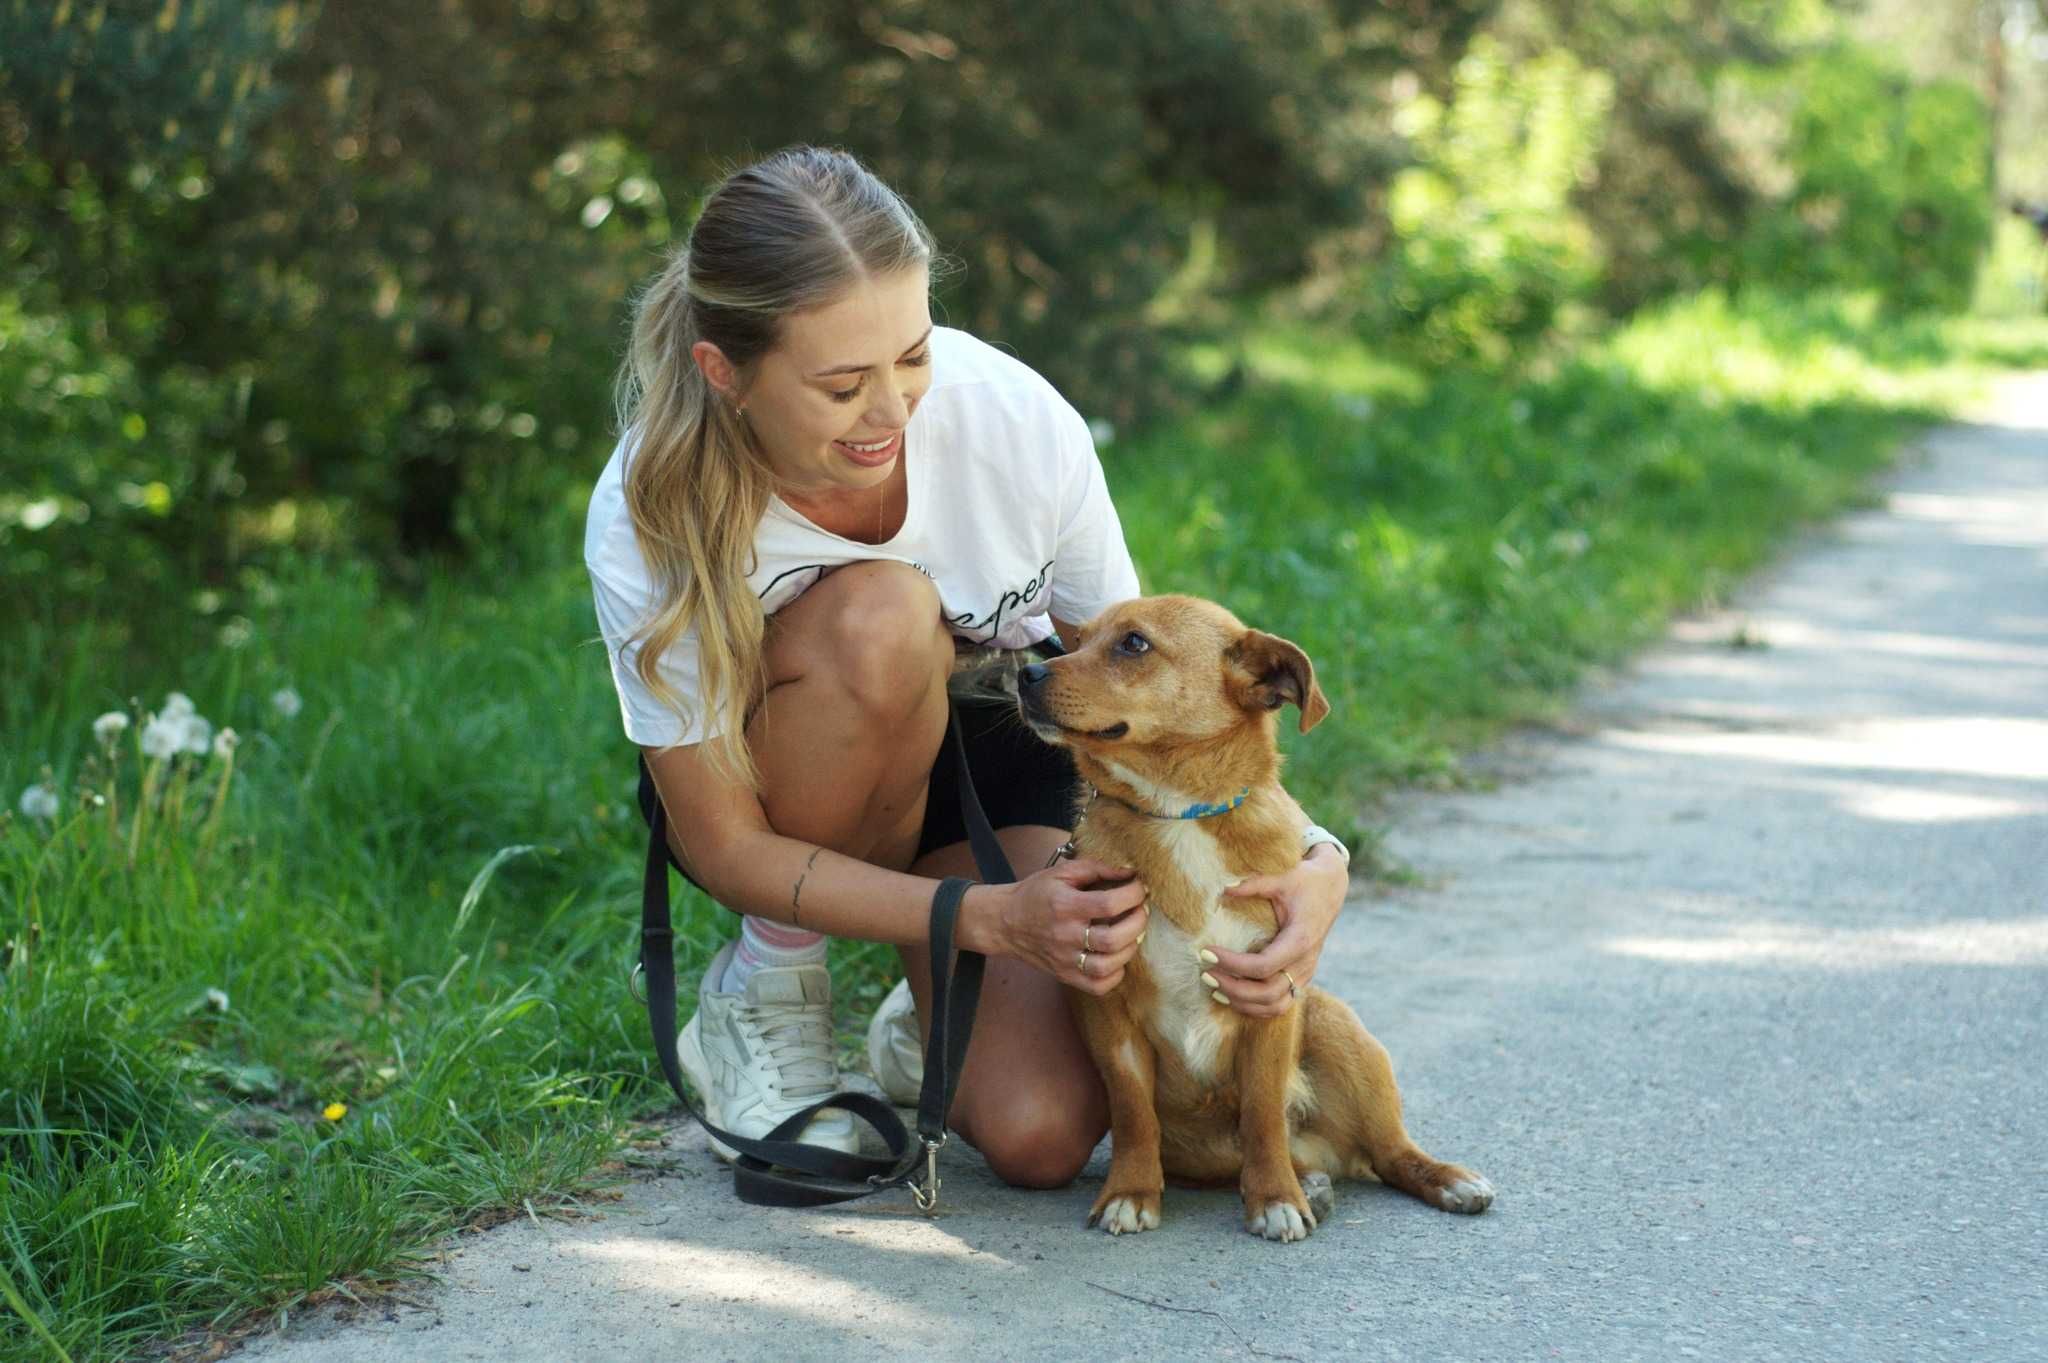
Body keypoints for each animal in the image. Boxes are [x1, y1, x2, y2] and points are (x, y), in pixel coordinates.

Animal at [1019, 593, 1490, 1227]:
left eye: (1134, 644)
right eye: (1079, 638)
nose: (1026, 674)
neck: (1179, 812)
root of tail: (1324, 1148)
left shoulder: (1269, 1001)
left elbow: (1264, 1111)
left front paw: (1275, 1199)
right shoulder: (1109, 1008)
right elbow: (1133, 1112)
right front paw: (1131, 1192)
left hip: (1337, 1028)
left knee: (1387, 1151)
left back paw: (1438, 1180)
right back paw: (1310, 1181)